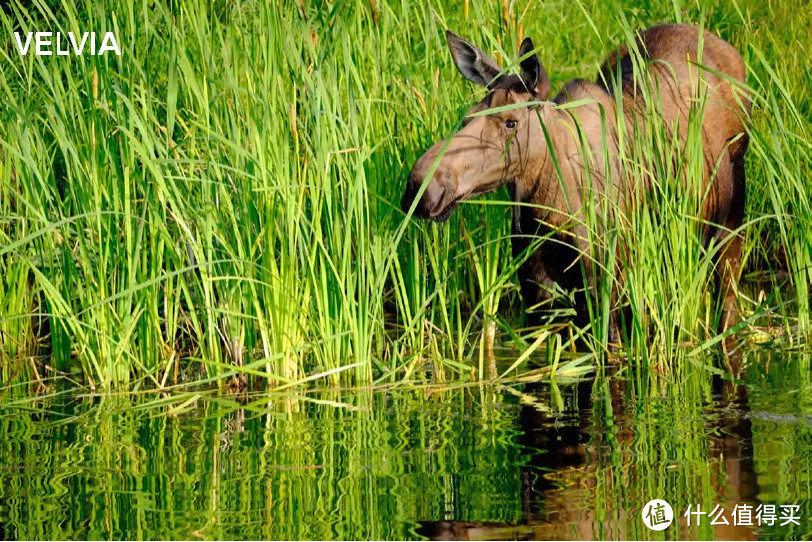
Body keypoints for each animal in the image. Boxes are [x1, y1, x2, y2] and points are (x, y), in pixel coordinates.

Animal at [402, 25, 752, 340]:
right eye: (467, 117)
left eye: (511, 122)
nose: (421, 188)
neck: (546, 208)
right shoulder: (535, 292)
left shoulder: (604, 284)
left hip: (730, 214)